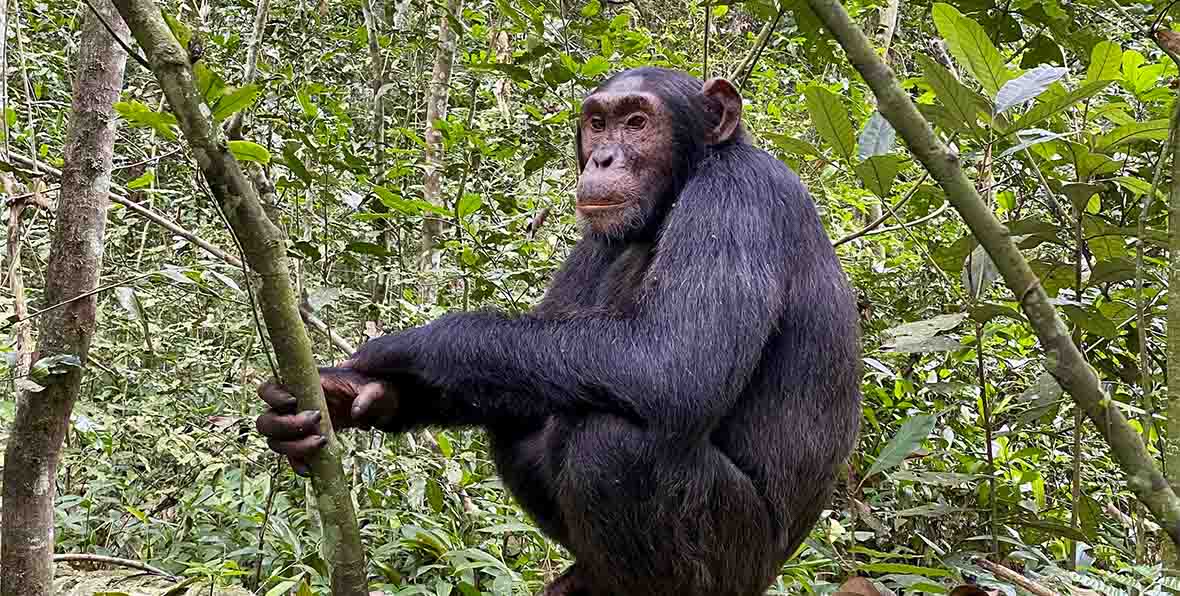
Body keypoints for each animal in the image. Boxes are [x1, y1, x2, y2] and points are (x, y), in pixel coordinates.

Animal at [256, 67, 859, 592]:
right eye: (597, 122)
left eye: (636, 121)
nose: (603, 156)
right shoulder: (597, 238)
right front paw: (344, 395)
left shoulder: (739, 201)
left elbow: (674, 359)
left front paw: (401, 349)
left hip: (735, 561)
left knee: (612, 440)